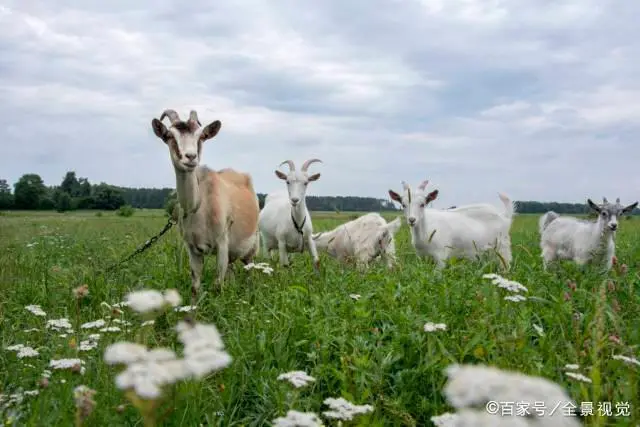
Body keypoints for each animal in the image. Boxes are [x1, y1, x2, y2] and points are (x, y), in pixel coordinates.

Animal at [151, 109, 260, 304]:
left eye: (201, 136)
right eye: (169, 136)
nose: (190, 157)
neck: (200, 206)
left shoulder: (222, 243)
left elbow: (217, 286)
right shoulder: (192, 248)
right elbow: (195, 286)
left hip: (252, 246)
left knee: (249, 270)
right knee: (232, 270)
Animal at [384, 181, 516, 270]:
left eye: (422, 204)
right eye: (403, 204)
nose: (412, 220)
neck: (425, 230)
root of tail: (504, 216)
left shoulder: (441, 256)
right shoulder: (422, 256)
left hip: (502, 248)